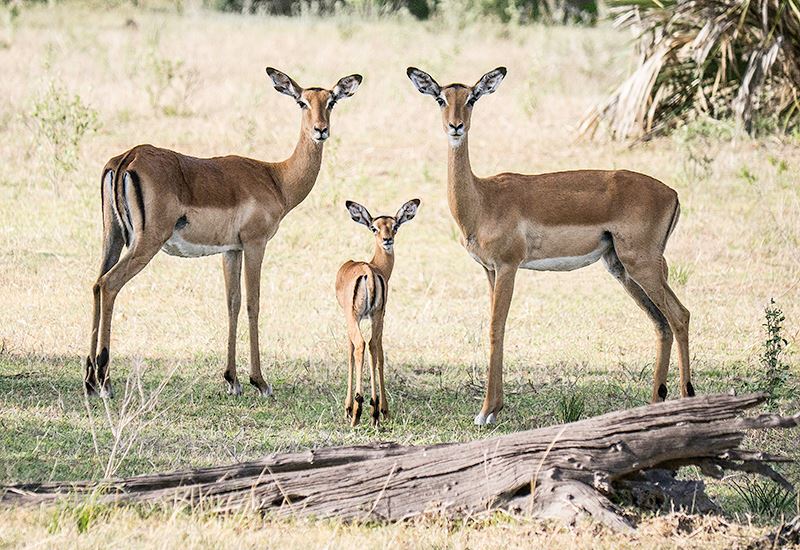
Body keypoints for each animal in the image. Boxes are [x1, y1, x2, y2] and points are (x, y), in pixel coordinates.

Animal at [85, 68, 362, 398]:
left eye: (331, 101)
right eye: (301, 102)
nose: (321, 130)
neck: (277, 179)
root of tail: (129, 157)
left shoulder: (231, 250)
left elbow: (233, 303)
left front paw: (232, 379)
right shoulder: (255, 244)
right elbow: (254, 303)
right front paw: (260, 381)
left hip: (112, 238)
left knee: (95, 284)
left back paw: (90, 380)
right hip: (145, 243)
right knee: (109, 284)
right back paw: (105, 381)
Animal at [336, 199, 420, 426]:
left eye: (395, 225)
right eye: (374, 227)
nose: (387, 239)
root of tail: (368, 272)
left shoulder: (349, 319)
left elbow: (349, 354)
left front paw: (348, 408)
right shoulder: (380, 316)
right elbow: (380, 356)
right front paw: (382, 409)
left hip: (355, 318)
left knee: (361, 345)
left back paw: (358, 410)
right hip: (376, 318)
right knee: (374, 347)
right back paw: (375, 411)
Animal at [406, 66, 693, 425]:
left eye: (472, 98)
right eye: (440, 99)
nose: (455, 126)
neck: (482, 200)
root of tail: (673, 193)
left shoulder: (508, 266)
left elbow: (495, 327)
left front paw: (486, 411)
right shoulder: (489, 270)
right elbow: (496, 328)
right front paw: (494, 408)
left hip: (642, 265)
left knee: (680, 315)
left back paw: (687, 399)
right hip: (623, 268)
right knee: (661, 323)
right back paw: (655, 403)